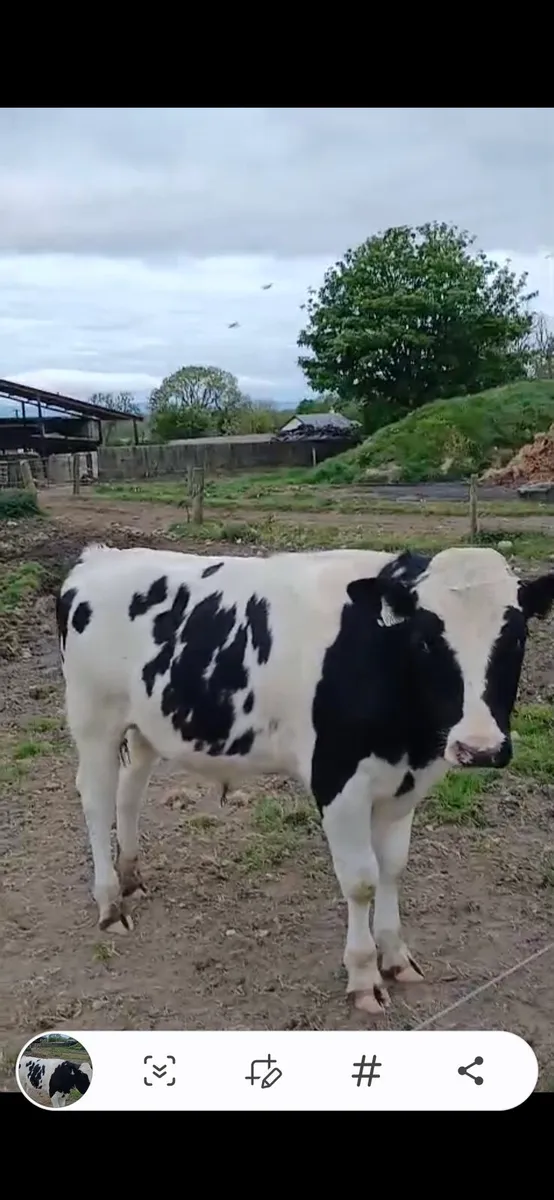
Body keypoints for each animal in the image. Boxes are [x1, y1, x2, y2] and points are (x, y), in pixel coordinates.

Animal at [55, 542, 554, 1016]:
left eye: (518, 636)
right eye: (427, 640)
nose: (480, 747)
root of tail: (99, 557)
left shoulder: (405, 783)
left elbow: (393, 867)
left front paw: (396, 957)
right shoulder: (338, 781)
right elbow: (362, 880)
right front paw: (364, 976)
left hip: (146, 724)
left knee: (130, 791)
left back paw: (131, 876)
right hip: (93, 719)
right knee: (96, 799)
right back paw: (109, 902)